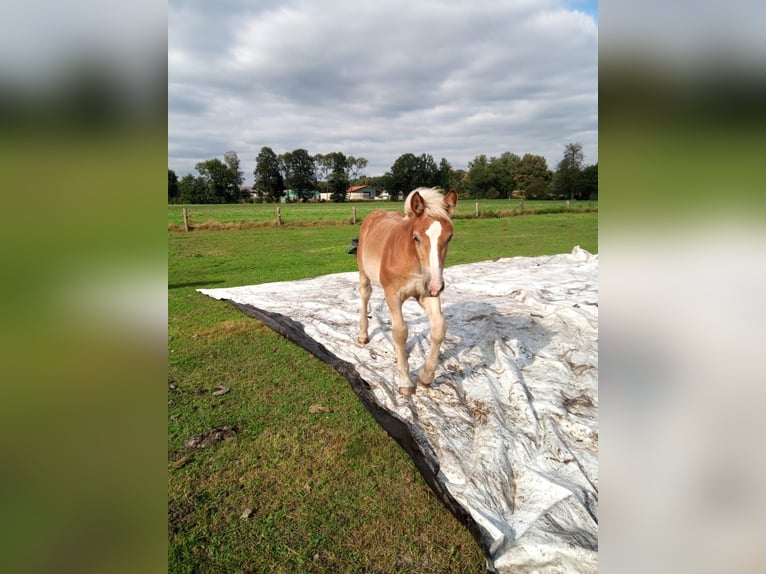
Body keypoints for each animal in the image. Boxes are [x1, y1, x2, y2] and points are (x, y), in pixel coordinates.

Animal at [358, 188, 460, 396]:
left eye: (449, 237)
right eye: (416, 237)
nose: (436, 285)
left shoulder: (427, 293)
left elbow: (439, 328)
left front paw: (426, 377)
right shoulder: (394, 294)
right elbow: (400, 332)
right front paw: (405, 382)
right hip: (364, 275)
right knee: (365, 296)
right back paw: (363, 336)